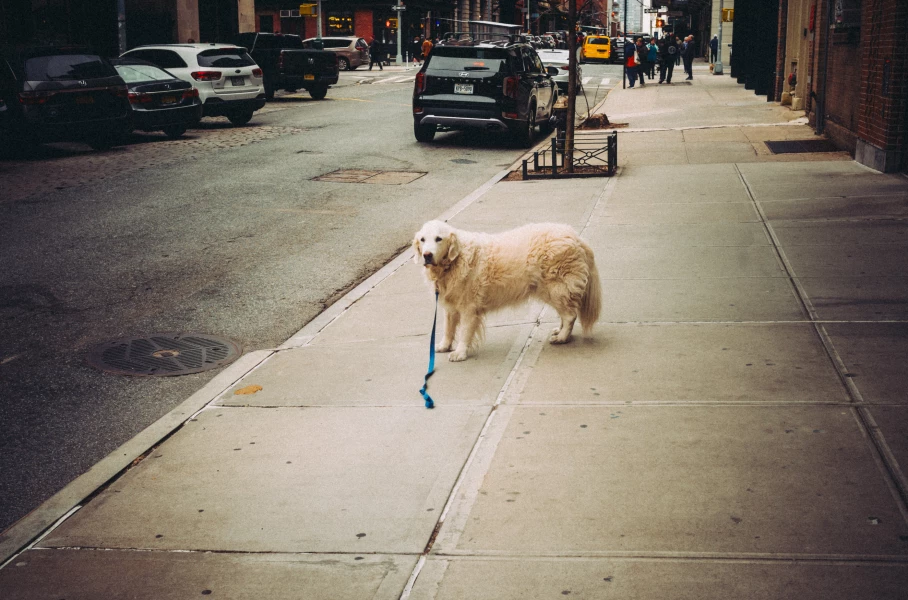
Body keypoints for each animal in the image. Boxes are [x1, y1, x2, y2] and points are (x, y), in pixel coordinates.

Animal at [414, 220, 600, 360]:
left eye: (438, 239)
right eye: (423, 240)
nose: (427, 255)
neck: (454, 262)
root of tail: (576, 237)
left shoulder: (469, 308)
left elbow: (465, 331)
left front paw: (459, 352)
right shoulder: (450, 306)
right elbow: (448, 328)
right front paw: (444, 346)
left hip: (556, 289)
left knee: (570, 316)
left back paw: (562, 338)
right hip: (556, 291)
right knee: (566, 313)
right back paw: (560, 332)